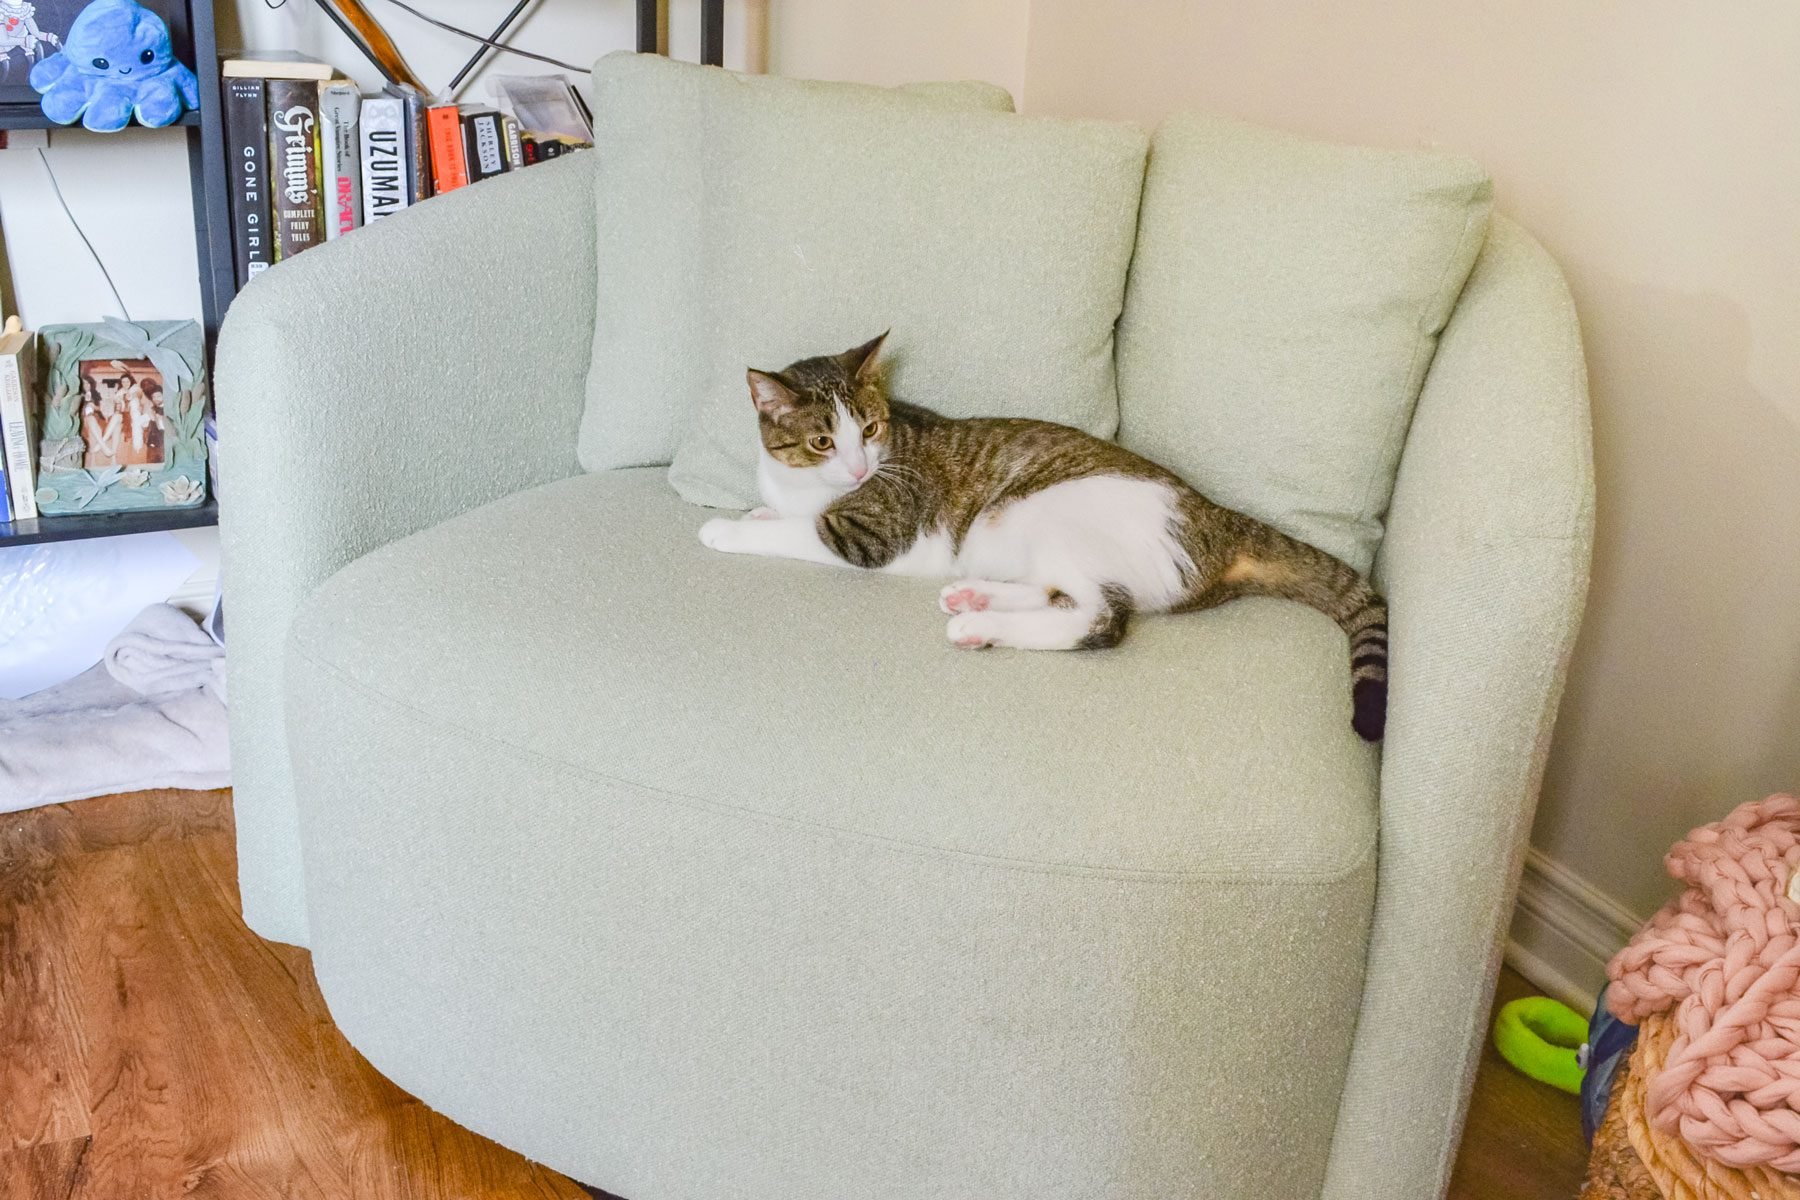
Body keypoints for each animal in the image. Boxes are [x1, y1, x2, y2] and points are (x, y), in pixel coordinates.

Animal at [702, 331, 1389, 741]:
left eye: (870, 429)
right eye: (824, 440)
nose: (858, 468)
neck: (803, 484)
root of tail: (1218, 516)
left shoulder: (869, 532)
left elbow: (803, 531)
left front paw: (727, 527)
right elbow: (780, 517)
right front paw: (757, 514)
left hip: (1048, 509)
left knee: (1099, 616)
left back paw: (977, 623)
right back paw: (974, 597)